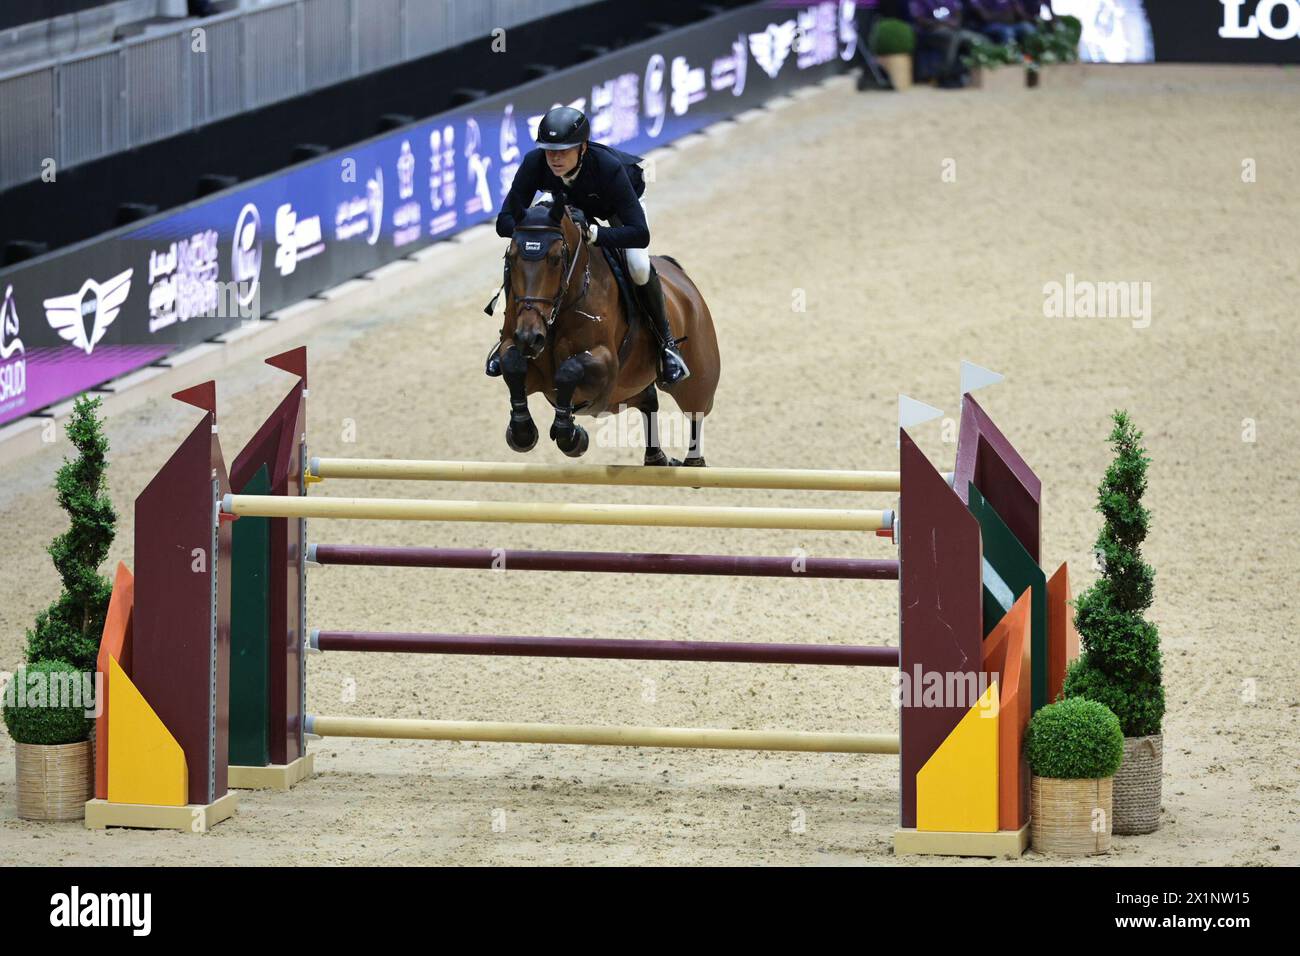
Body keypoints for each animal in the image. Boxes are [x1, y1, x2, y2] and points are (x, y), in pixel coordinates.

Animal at [493, 196, 728, 465]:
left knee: (696, 411)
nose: (530, 338)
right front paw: (522, 431)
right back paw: (656, 458)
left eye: (555, 258)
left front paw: (572, 437)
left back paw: (692, 461)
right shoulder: (524, 361)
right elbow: (513, 363)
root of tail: (680, 276)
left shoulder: (604, 363)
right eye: (510, 258)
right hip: (622, 394)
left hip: (695, 380)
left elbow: (569, 370)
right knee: (648, 400)